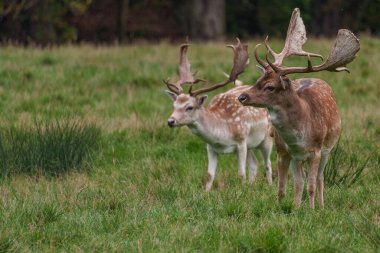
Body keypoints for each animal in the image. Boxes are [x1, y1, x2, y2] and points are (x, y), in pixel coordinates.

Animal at [163, 38, 274, 191]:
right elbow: (209, 175)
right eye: (174, 106)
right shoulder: (211, 147)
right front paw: (206, 193)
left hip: (268, 138)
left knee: (267, 164)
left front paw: (240, 193)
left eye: (189, 107)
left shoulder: (241, 141)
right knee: (254, 163)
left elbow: (241, 174)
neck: (222, 135)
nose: (170, 121)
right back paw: (251, 187)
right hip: (251, 144)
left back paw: (270, 186)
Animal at [238, 8, 360, 210]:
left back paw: (320, 206)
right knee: (299, 181)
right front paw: (284, 208)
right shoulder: (283, 151)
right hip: (297, 158)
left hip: (327, 149)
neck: (298, 138)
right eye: (257, 80)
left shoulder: (316, 151)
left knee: (319, 178)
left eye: (270, 86)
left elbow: (311, 185)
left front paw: (311, 211)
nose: (242, 97)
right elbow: (283, 186)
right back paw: (296, 207)